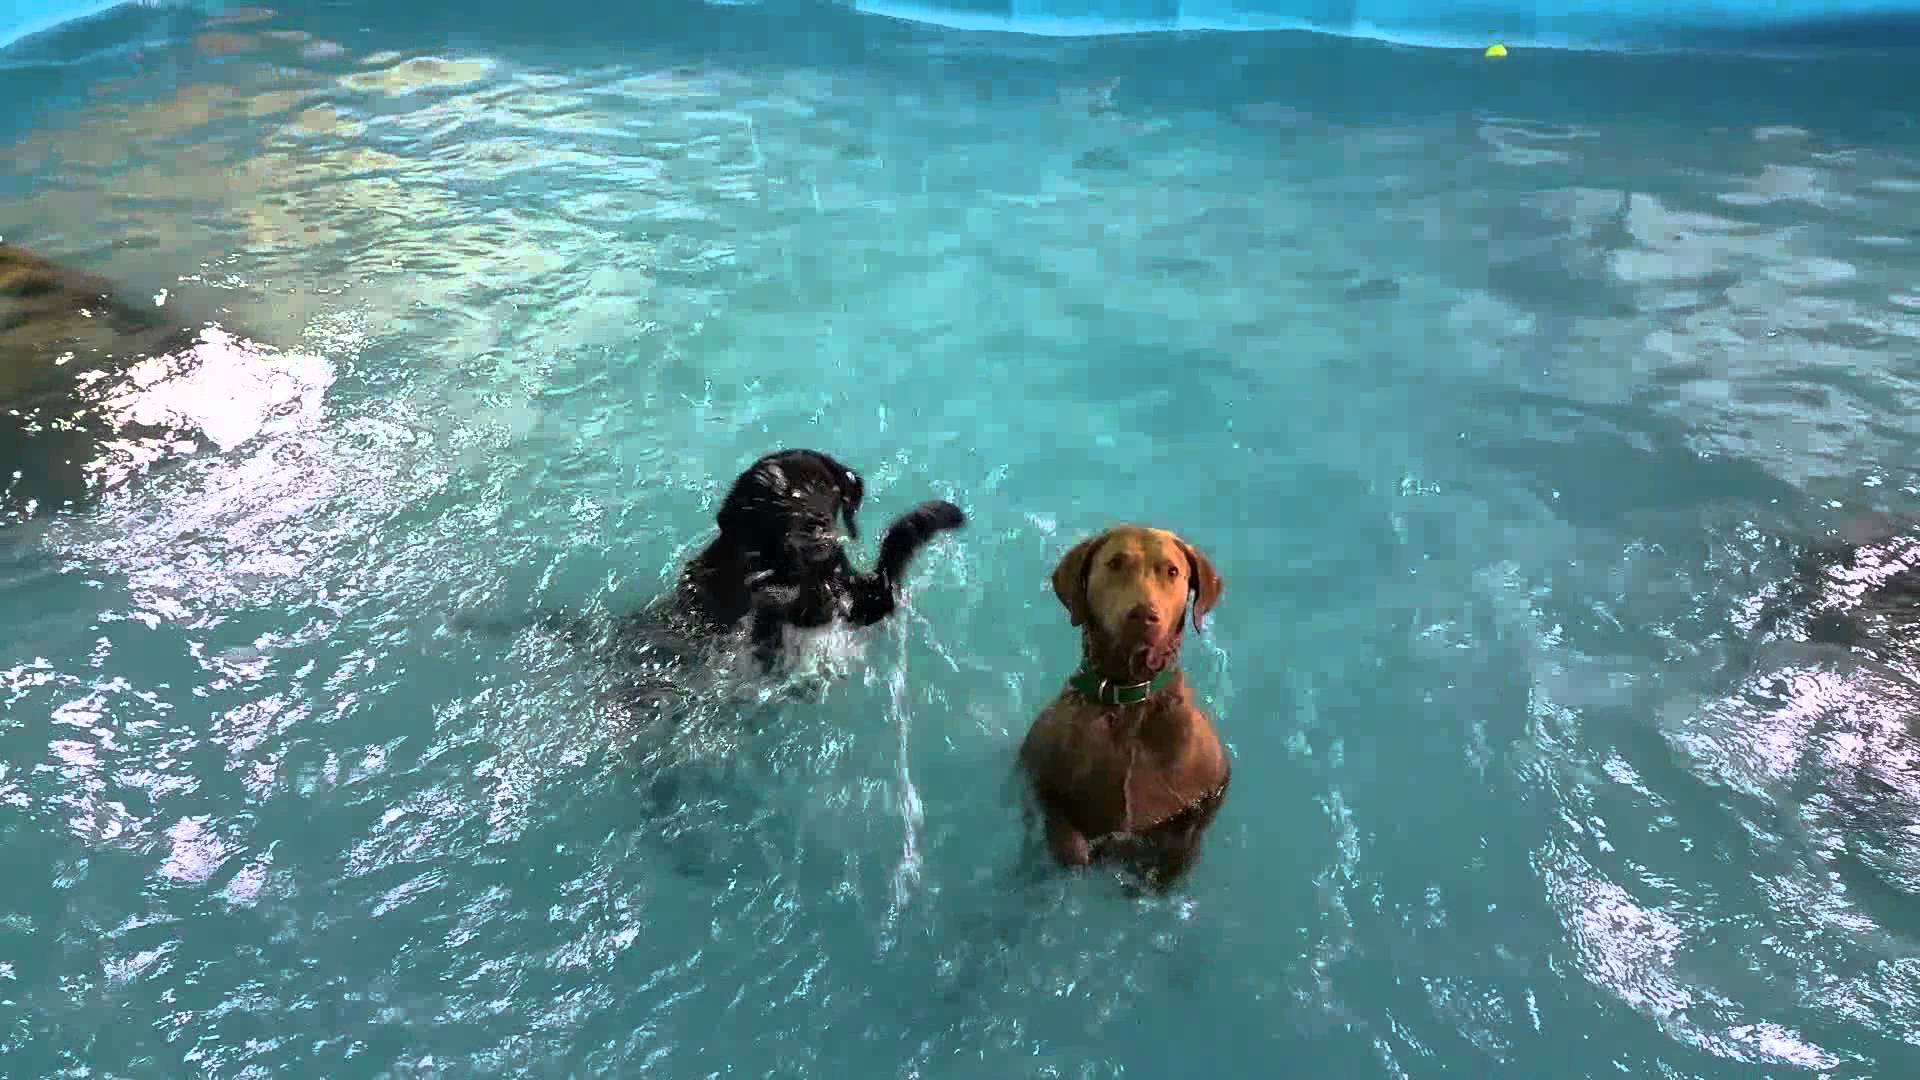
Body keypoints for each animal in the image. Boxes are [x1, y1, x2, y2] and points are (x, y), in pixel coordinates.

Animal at [1021, 526, 1228, 887]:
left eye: (1171, 571)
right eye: (1115, 563)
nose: (1144, 615)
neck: (1130, 699)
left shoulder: (1209, 791)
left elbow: (1184, 843)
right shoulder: (1043, 779)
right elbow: (1063, 830)